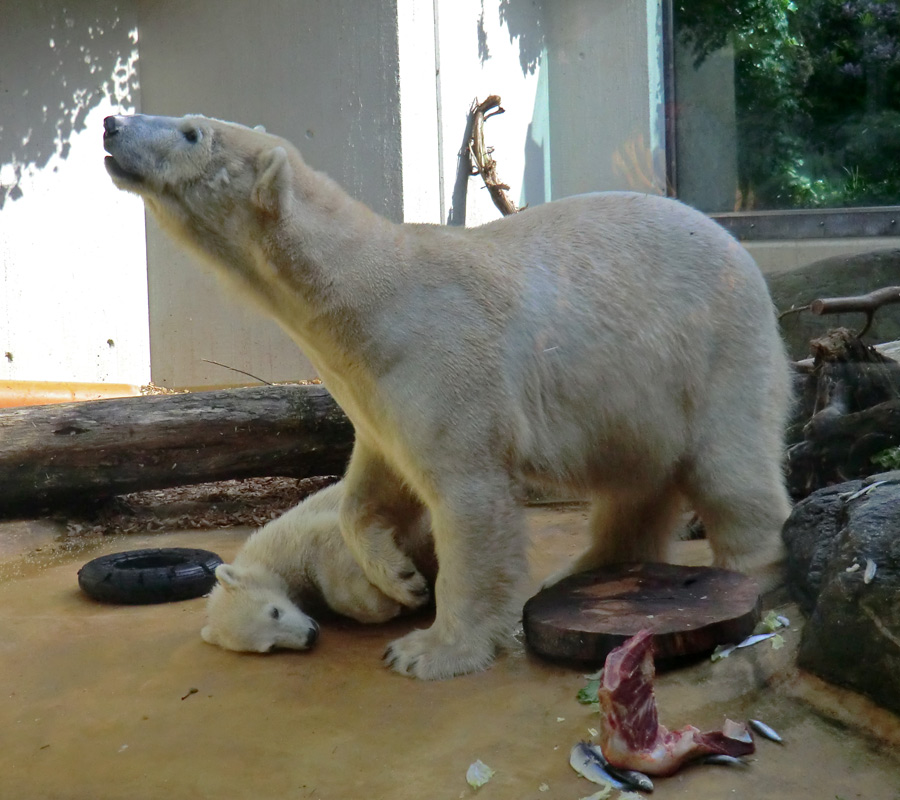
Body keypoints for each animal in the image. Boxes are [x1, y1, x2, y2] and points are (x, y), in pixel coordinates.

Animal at [105, 114, 792, 680]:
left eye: (192, 132)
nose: (112, 124)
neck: (367, 298)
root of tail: (741, 253)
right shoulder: (372, 390)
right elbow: (369, 487)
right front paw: (401, 580)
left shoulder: (442, 358)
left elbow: (467, 499)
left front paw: (429, 650)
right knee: (634, 481)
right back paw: (583, 569)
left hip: (717, 349)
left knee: (730, 467)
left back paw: (746, 576)